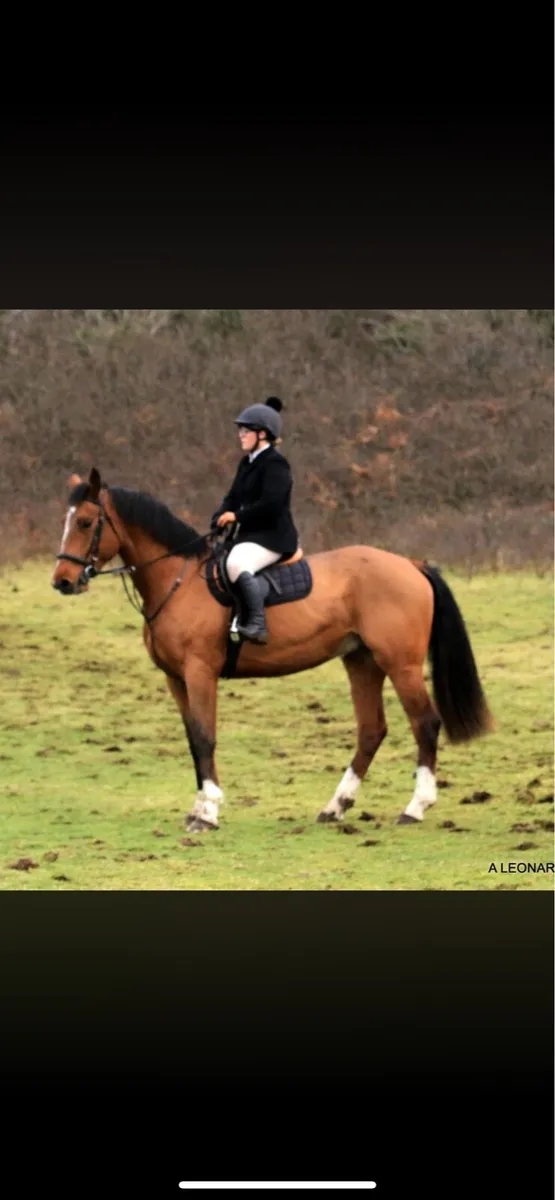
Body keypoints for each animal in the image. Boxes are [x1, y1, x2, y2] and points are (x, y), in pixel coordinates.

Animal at [51, 467, 495, 834]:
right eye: (66, 522)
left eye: (86, 522)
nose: (62, 582)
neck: (178, 580)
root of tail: (411, 565)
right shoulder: (175, 678)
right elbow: (193, 740)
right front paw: (198, 808)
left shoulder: (199, 672)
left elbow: (206, 737)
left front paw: (208, 813)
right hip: (362, 661)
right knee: (372, 730)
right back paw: (335, 807)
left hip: (400, 663)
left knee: (425, 723)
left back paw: (415, 807)